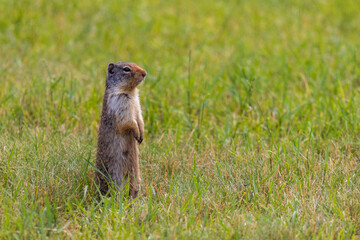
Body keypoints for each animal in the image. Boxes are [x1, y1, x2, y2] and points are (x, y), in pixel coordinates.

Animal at [96, 61, 147, 198]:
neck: (131, 92)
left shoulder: (137, 105)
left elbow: (139, 118)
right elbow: (128, 121)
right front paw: (137, 134)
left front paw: (141, 135)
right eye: (126, 69)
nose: (145, 73)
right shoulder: (119, 104)